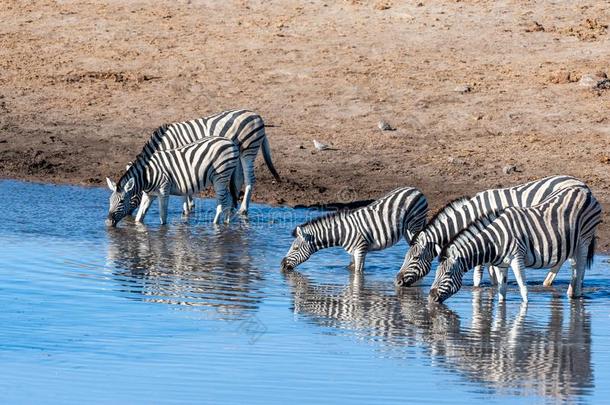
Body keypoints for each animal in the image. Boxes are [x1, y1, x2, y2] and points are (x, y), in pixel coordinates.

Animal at [104, 137, 238, 226]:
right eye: (109, 200)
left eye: (122, 201)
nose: (108, 222)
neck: (147, 176)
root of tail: (230, 142)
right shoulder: (149, 194)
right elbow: (139, 217)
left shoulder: (164, 190)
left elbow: (163, 217)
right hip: (223, 178)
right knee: (229, 199)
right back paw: (226, 222)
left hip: (220, 176)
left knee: (222, 202)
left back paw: (216, 224)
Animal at [126, 109, 282, 219]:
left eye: (133, 193)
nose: (127, 216)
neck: (164, 142)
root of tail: (257, 116)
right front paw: (190, 206)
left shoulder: (179, 159)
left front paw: (187, 208)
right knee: (238, 179)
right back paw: (233, 207)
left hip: (249, 150)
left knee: (250, 179)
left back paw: (243, 209)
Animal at [278, 188, 426, 274]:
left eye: (295, 248)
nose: (282, 265)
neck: (342, 233)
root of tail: (415, 189)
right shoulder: (355, 251)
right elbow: (352, 268)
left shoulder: (360, 249)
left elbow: (358, 273)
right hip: (407, 230)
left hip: (415, 224)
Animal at [392, 174, 588, 288]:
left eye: (415, 258)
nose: (397, 281)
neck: (473, 214)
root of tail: (579, 181)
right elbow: (491, 266)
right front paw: (495, 284)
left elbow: (480, 269)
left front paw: (479, 288)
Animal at [428, 185, 600, 302]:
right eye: (435, 274)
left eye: (447, 274)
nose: (430, 297)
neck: (495, 240)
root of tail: (585, 190)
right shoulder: (501, 265)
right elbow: (501, 291)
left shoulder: (517, 259)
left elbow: (523, 290)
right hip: (571, 242)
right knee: (574, 266)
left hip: (584, 238)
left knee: (580, 266)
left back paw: (575, 294)